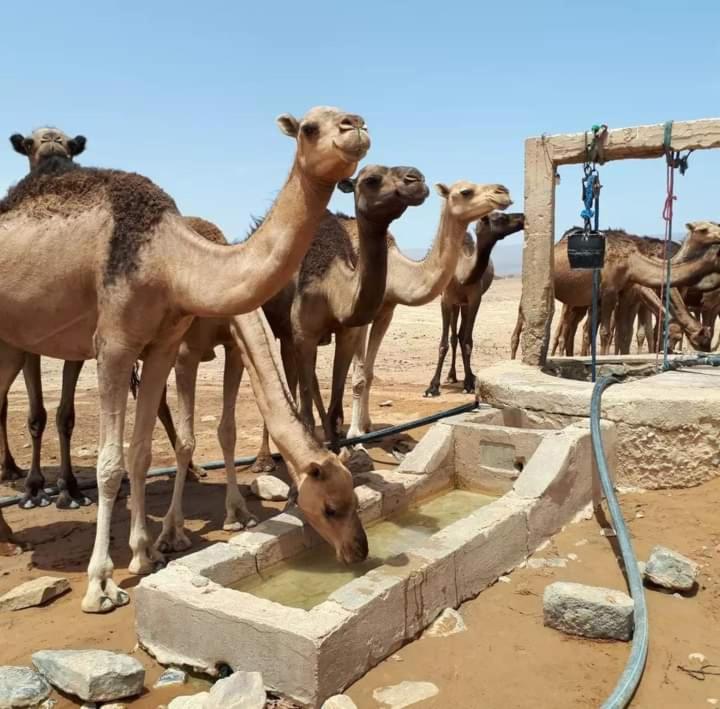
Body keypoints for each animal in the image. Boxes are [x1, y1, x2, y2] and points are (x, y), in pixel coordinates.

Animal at [0, 106, 372, 612]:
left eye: (354, 497)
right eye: (311, 128)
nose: (359, 549)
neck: (170, 259)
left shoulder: (163, 345)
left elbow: (142, 452)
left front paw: (145, 554)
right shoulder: (118, 343)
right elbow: (113, 463)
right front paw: (103, 583)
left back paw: (11, 538)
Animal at [246, 167, 428, 470]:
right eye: (371, 179)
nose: (417, 179)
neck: (332, 284)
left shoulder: (345, 333)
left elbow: (334, 410)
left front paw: (341, 456)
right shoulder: (303, 333)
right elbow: (306, 412)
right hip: (280, 328)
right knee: (285, 387)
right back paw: (264, 460)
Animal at [348, 181, 512, 436]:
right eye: (465, 191)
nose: (503, 191)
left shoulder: (386, 312)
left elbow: (368, 372)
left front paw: (367, 427)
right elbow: (358, 375)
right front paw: (354, 434)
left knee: (459, 335)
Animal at [422, 210, 524, 398]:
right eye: (500, 218)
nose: (522, 218)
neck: (462, 273)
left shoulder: (474, 299)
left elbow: (468, 341)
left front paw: (469, 383)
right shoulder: (446, 300)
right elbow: (443, 344)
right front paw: (432, 387)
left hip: (464, 304)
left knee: (461, 336)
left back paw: (467, 375)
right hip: (456, 304)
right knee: (454, 337)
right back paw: (451, 376)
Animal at [510, 224, 720, 360]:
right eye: (704, 229)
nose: (707, 350)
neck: (632, 262)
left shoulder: (624, 293)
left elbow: (625, 333)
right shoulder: (610, 292)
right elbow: (607, 333)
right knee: (525, 320)